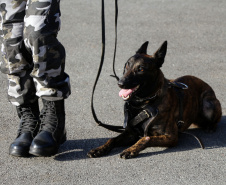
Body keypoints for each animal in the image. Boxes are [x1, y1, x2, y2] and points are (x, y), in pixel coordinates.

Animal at [87, 40, 222, 159]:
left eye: (141, 69)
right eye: (126, 65)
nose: (120, 83)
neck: (144, 103)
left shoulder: (171, 137)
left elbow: (145, 138)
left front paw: (131, 150)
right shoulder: (131, 133)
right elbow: (112, 139)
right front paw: (99, 149)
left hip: (208, 105)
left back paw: (211, 127)